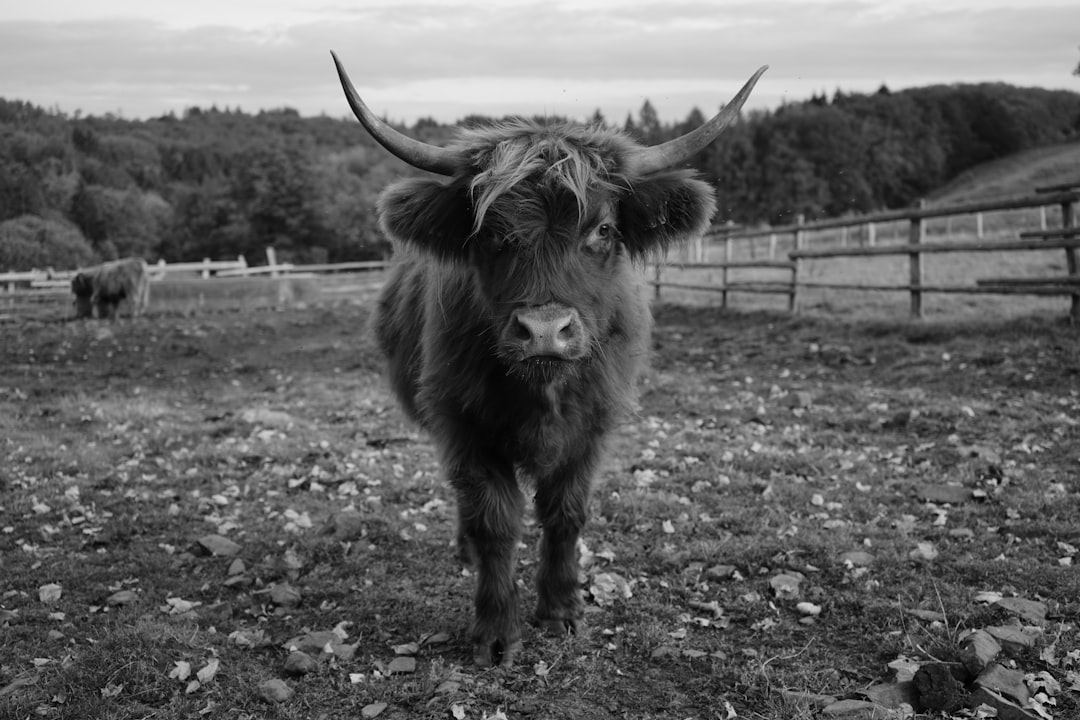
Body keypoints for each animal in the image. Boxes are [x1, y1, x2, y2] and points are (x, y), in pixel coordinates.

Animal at [332, 50, 764, 669]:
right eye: (489, 233)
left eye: (603, 229)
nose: (543, 332)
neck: (542, 390)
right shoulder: (463, 424)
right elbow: (494, 520)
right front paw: (496, 631)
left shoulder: (594, 427)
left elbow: (566, 513)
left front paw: (560, 611)